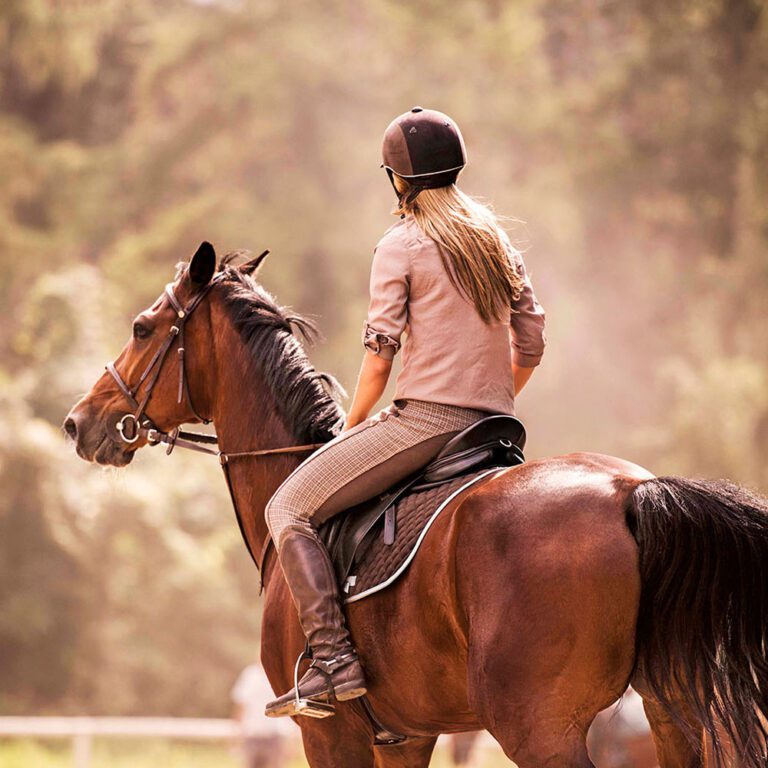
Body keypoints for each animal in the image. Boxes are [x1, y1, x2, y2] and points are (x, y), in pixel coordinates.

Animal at [64, 244, 768, 768]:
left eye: (141, 328)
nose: (79, 423)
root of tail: (630, 492)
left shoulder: (330, 735)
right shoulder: (406, 733)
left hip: (540, 728)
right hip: (670, 713)